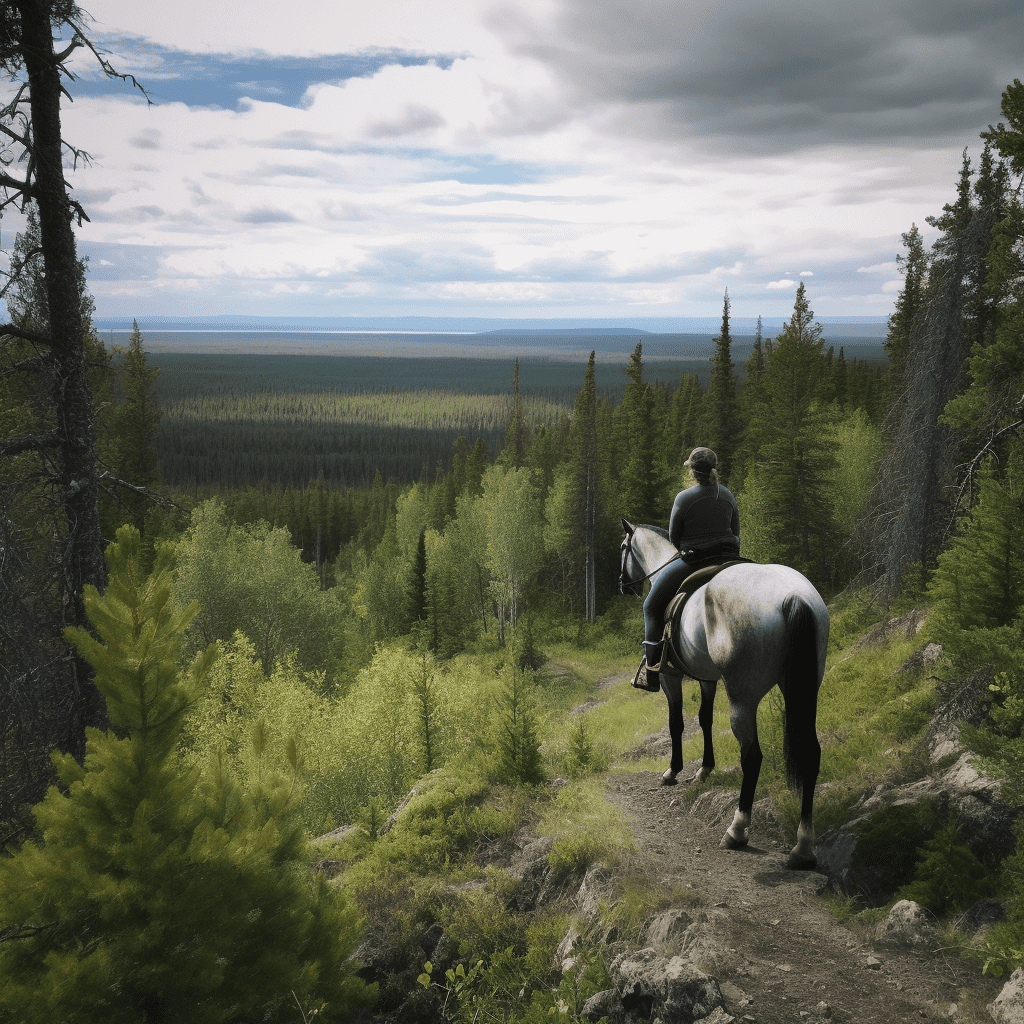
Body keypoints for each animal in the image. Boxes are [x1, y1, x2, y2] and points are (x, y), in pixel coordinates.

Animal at [614, 520, 831, 872]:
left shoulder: (672, 677)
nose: (623, 585)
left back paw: (737, 830)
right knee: (810, 754)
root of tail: (792, 596)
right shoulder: (708, 678)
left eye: (623, 548)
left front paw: (673, 771)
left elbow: (676, 724)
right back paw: (803, 848)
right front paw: (704, 770)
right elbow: (704, 719)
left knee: (752, 756)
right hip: (803, 690)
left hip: (743, 696)